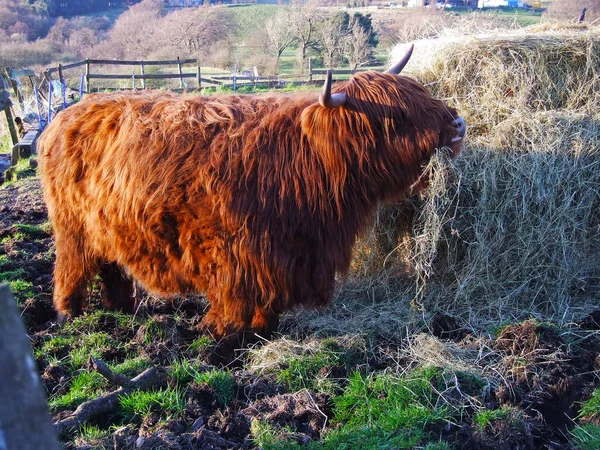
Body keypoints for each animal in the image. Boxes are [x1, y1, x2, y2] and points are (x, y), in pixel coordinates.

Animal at [39, 47, 466, 340]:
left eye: (422, 93)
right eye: (400, 116)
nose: (458, 124)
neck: (306, 158)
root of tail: (67, 114)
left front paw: (263, 328)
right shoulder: (236, 249)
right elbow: (237, 295)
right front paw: (223, 333)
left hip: (105, 226)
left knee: (109, 266)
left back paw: (121, 308)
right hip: (72, 228)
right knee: (71, 270)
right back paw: (68, 315)